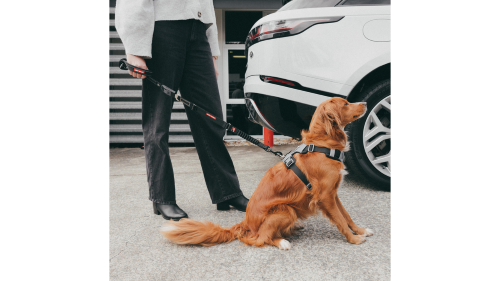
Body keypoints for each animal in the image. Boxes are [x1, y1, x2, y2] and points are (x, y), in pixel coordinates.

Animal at [159, 97, 372, 248]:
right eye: (346, 104)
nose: (365, 102)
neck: (321, 143)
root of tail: (245, 223)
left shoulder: (333, 193)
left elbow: (346, 215)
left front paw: (360, 230)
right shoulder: (325, 197)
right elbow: (340, 220)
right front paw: (354, 239)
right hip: (284, 209)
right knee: (259, 239)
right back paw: (282, 242)